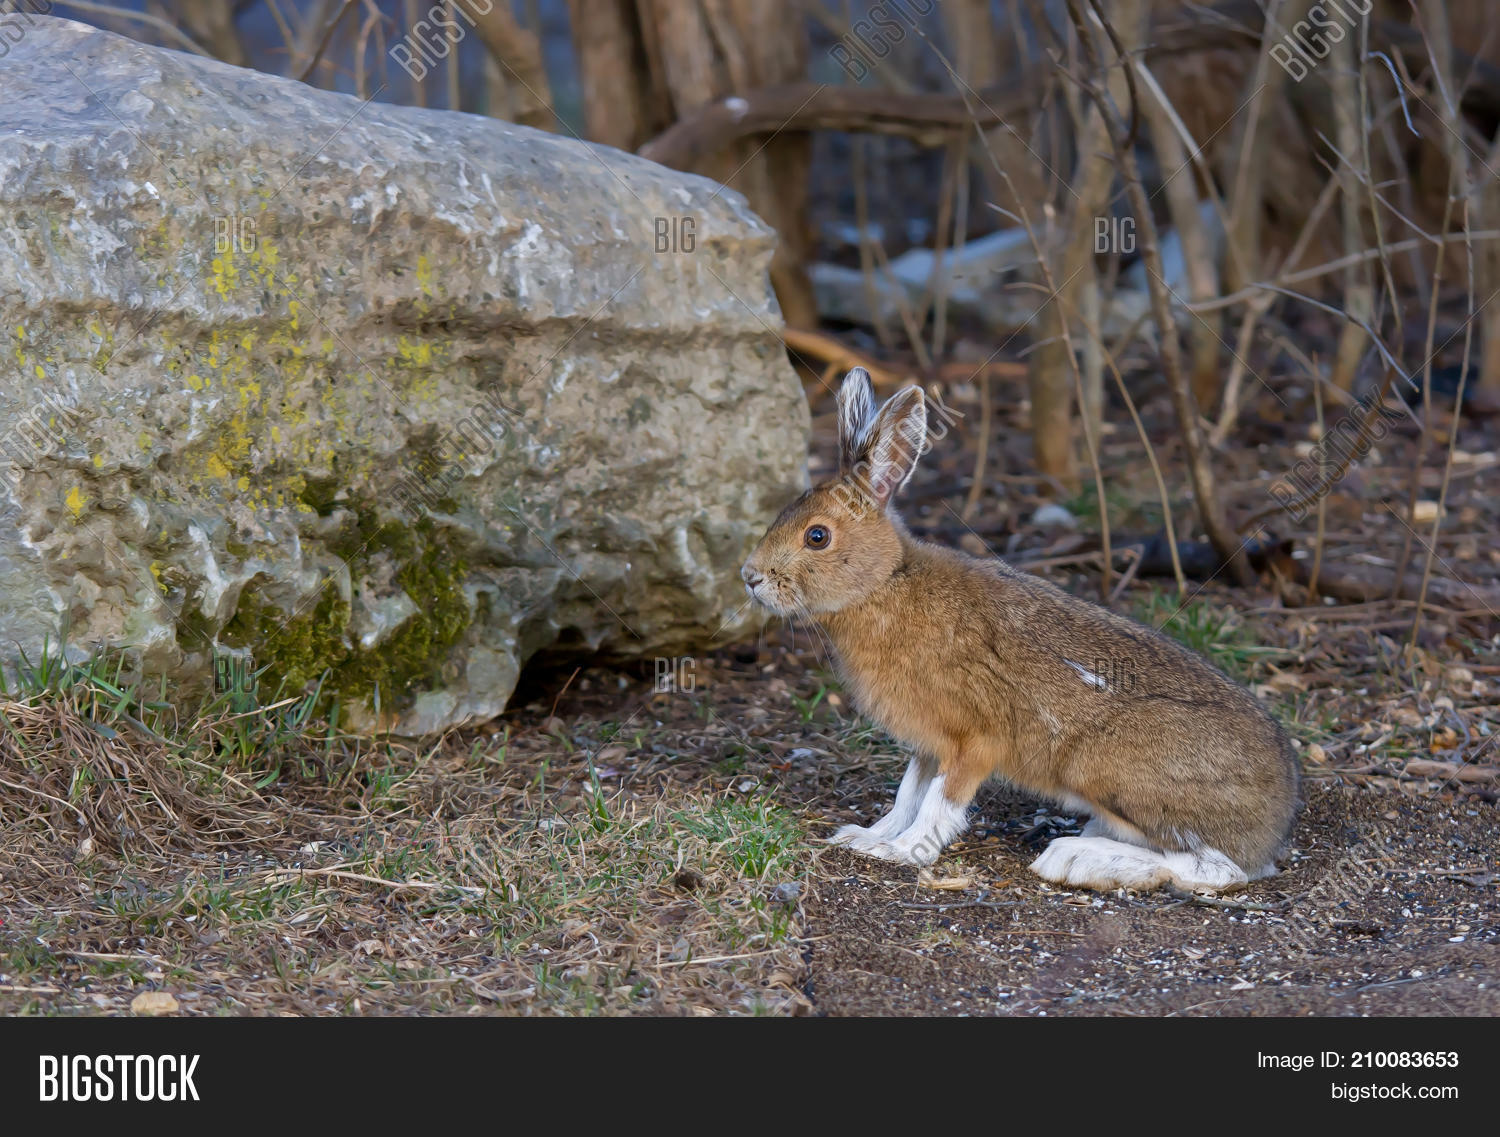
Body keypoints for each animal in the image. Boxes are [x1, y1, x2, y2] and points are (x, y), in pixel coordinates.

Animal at [739, 368, 1299, 892]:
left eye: (817, 536)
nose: (750, 576)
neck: (885, 581)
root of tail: (1274, 822)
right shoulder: (928, 746)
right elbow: (906, 794)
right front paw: (866, 837)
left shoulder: (974, 740)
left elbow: (939, 804)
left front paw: (902, 853)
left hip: (1104, 768)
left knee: (1217, 867)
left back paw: (1078, 859)